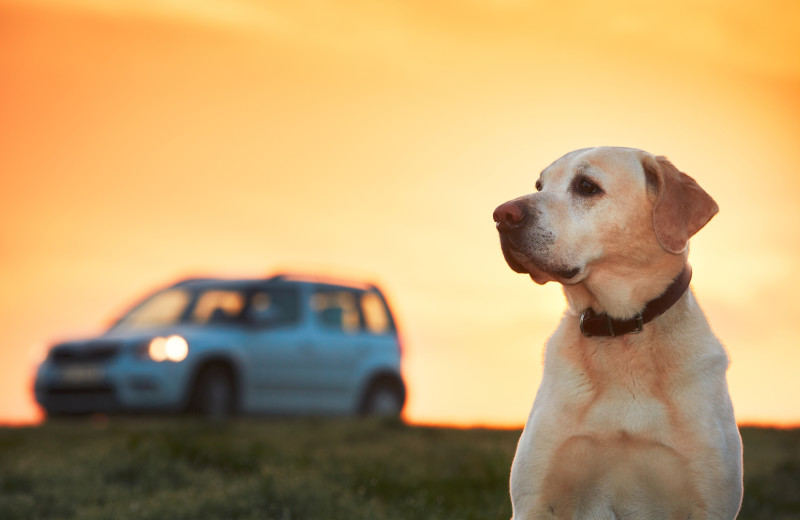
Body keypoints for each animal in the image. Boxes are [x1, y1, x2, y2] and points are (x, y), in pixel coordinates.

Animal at [494, 147, 744, 520]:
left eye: (586, 186)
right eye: (539, 185)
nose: (501, 215)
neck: (621, 330)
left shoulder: (710, 500)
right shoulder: (535, 501)